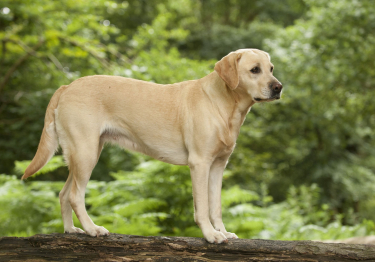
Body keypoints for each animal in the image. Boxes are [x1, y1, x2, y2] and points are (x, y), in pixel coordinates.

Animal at [21, 49, 282, 244]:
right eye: (255, 70)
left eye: (271, 69)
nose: (279, 87)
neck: (224, 104)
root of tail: (67, 86)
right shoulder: (199, 163)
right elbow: (202, 207)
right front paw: (210, 235)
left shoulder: (218, 166)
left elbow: (215, 206)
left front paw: (223, 232)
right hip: (85, 154)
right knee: (75, 196)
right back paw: (93, 229)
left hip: (82, 155)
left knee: (64, 194)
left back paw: (72, 230)